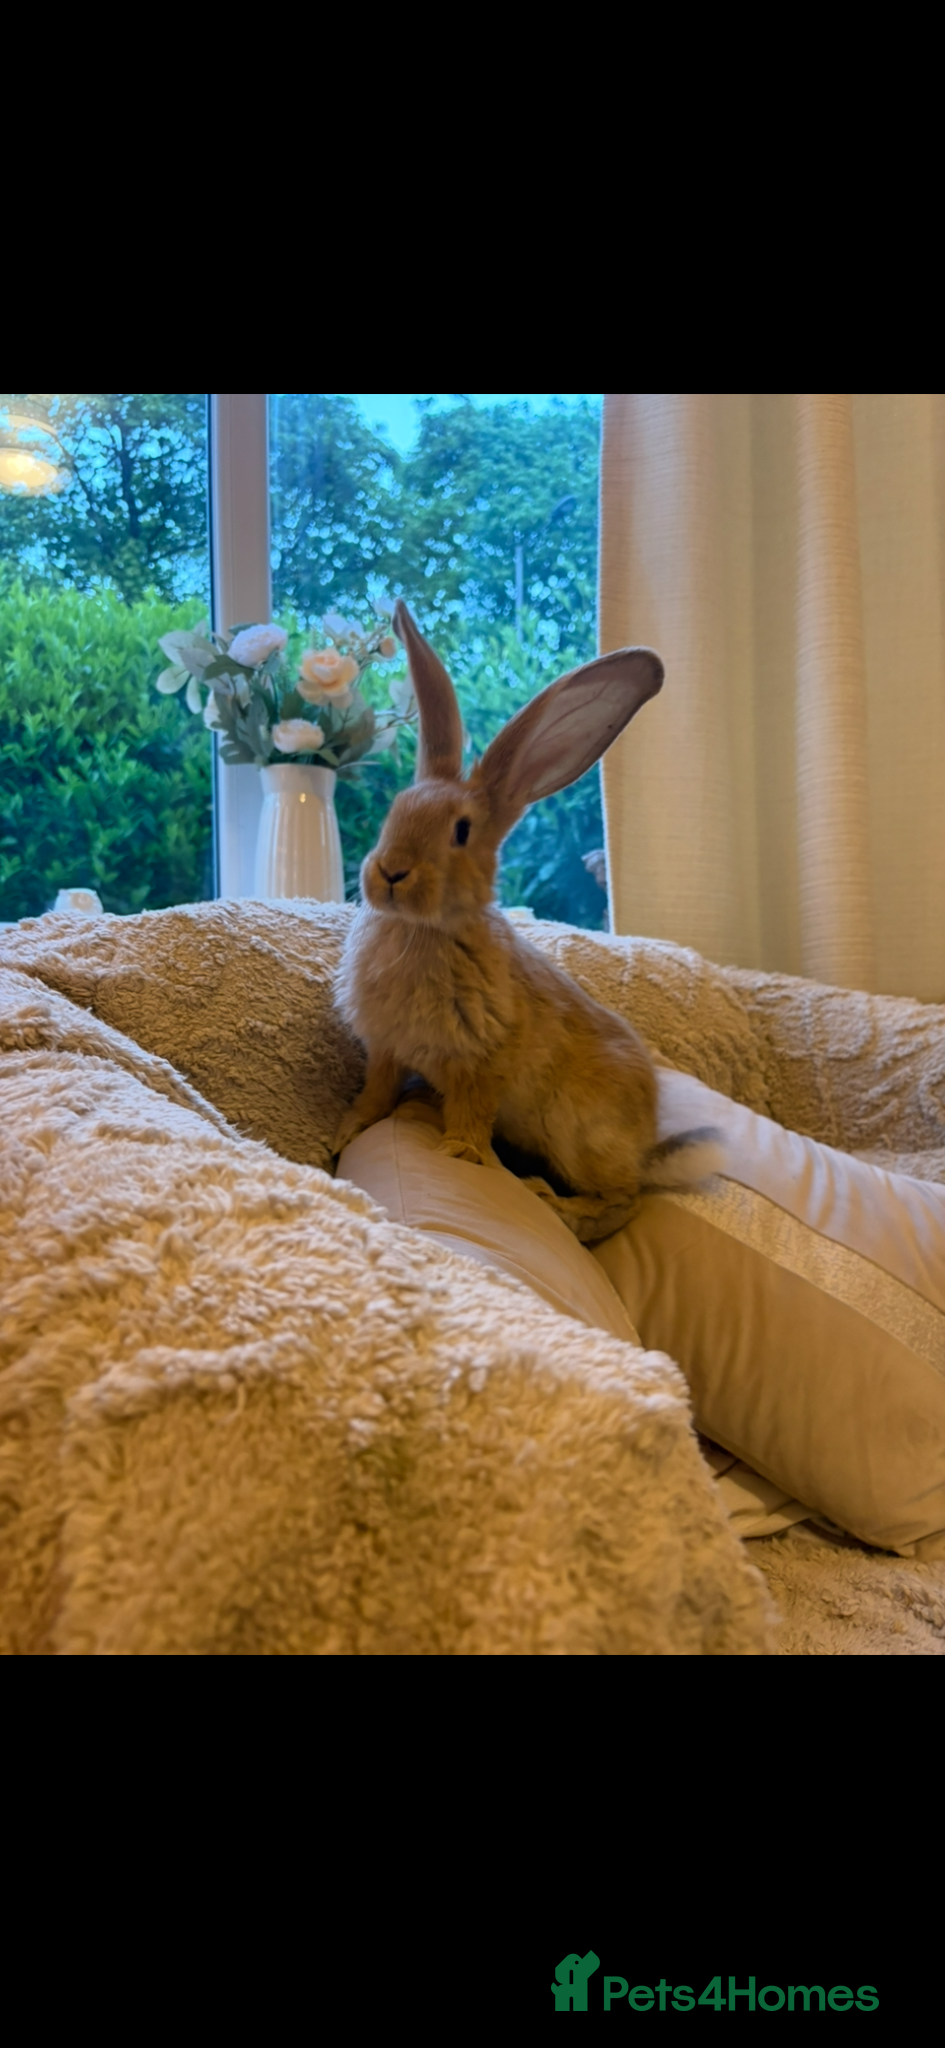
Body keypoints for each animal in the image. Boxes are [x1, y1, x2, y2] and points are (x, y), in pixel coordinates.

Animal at [333, 600, 722, 1242]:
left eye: (461, 831)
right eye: (395, 809)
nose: (390, 872)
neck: (425, 930)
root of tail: (645, 1148)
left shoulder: (481, 1062)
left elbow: (470, 1114)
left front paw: (459, 1155)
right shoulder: (386, 1050)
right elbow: (375, 1093)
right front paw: (348, 1127)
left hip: (579, 1134)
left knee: (625, 1201)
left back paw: (560, 1206)